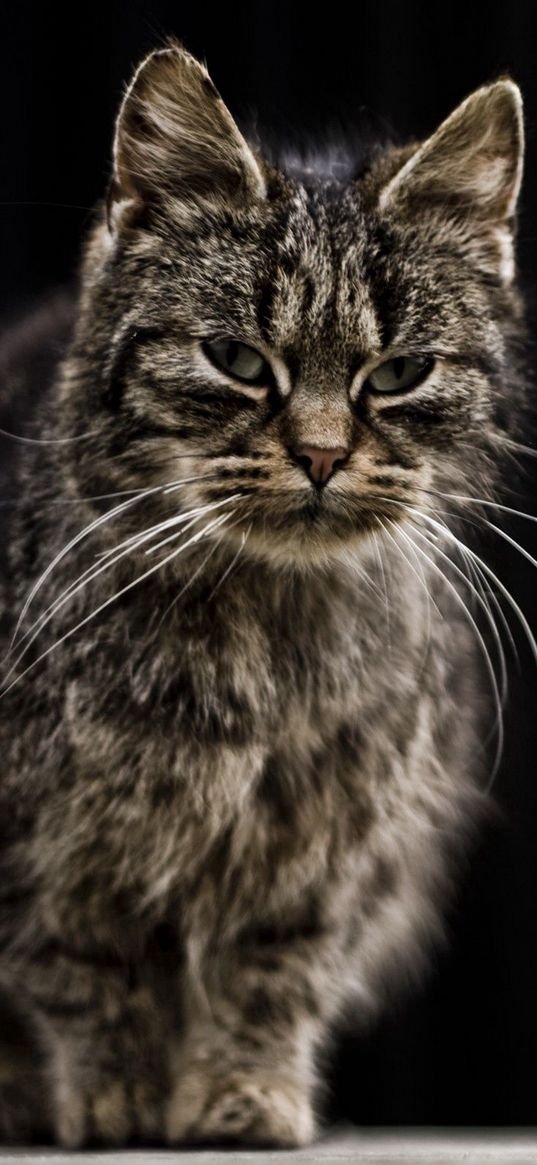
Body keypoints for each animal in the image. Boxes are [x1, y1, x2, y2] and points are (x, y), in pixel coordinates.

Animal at [0, 41, 526, 1151]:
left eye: (400, 373)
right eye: (237, 359)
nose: (323, 453)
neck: (263, 632)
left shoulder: (325, 856)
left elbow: (267, 982)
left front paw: (246, 1095)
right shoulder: (49, 858)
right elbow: (83, 974)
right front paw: (110, 1098)